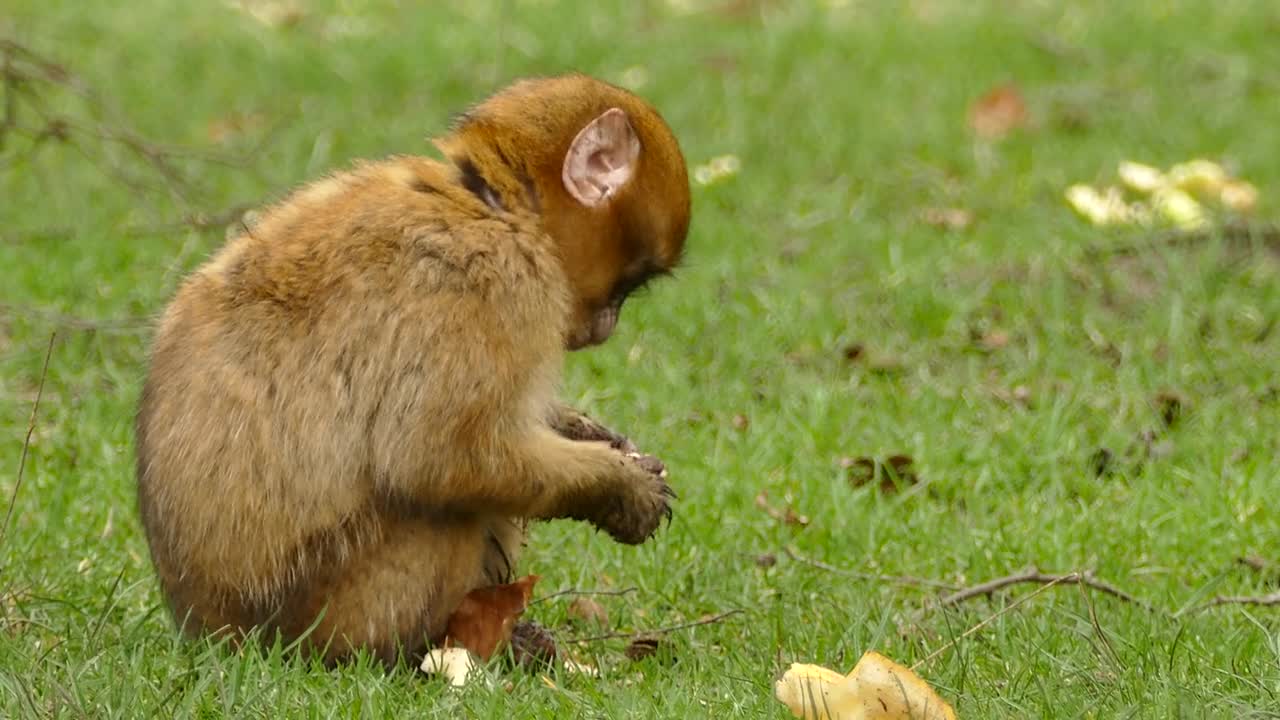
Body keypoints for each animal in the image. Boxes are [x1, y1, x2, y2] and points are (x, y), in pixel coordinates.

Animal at [135, 73, 691, 661]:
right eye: (630, 282)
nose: (606, 326)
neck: (491, 205)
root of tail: (209, 627)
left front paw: (594, 436)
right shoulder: (492, 283)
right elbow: (436, 457)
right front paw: (617, 488)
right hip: (334, 609)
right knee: (445, 506)